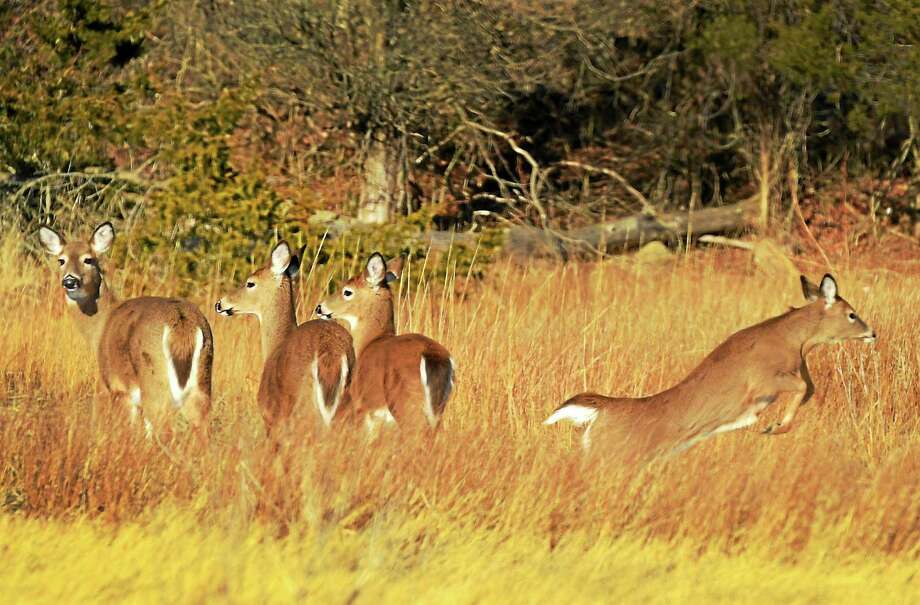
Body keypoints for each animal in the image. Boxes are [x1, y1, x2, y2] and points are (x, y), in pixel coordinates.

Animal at [38, 222, 213, 441]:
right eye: (61, 260)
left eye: (88, 259)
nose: (70, 281)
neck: (101, 324)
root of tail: (182, 322)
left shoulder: (118, 388)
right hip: (202, 382)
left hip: (154, 381)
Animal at [315, 253, 455, 434]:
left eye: (347, 291)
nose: (320, 307)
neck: (369, 342)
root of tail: (431, 355)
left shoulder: (362, 405)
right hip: (438, 407)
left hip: (404, 402)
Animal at [544, 274, 877, 462]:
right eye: (851, 314)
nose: (872, 332)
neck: (794, 342)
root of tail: (598, 413)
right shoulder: (762, 381)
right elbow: (803, 386)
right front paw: (775, 427)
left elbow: (810, 388)